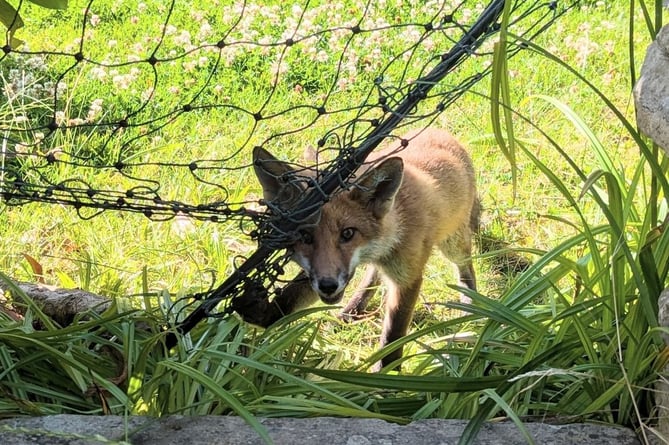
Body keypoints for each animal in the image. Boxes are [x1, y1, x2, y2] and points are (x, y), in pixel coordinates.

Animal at [237, 127, 478, 368]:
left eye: (348, 233)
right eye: (304, 235)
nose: (328, 286)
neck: (394, 228)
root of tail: (438, 131)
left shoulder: (407, 276)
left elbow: (393, 335)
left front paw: (387, 373)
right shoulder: (321, 271)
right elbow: (291, 297)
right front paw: (263, 313)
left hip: (453, 243)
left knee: (466, 266)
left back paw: (470, 301)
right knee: (372, 275)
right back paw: (353, 308)